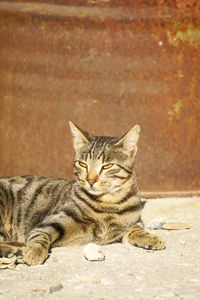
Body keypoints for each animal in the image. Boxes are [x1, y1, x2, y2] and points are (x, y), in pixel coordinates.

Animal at [0, 122, 165, 264]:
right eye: (82, 164)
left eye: (107, 166)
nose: (90, 180)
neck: (108, 205)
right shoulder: (53, 220)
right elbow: (40, 234)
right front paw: (34, 251)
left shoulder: (130, 224)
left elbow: (137, 229)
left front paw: (152, 238)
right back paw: (17, 249)